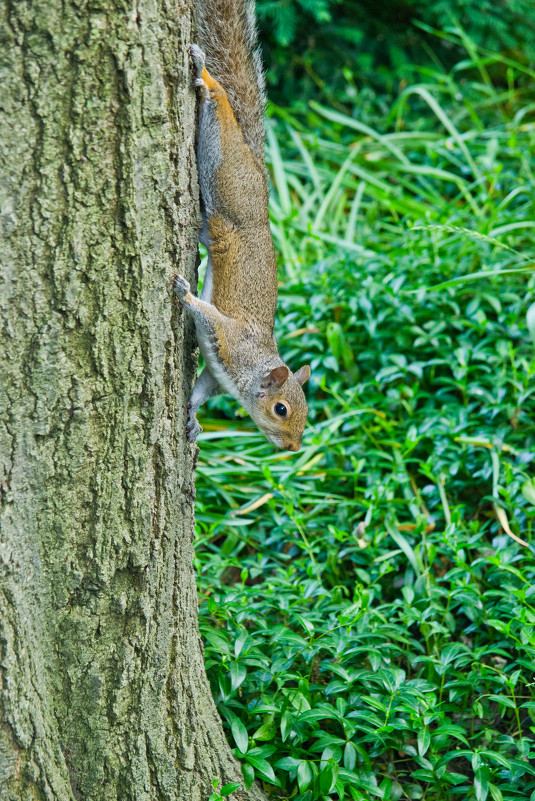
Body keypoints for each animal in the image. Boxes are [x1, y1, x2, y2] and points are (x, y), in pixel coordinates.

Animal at [174, 0, 312, 450]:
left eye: (306, 413)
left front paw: (193, 418)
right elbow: (207, 313)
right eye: (281, 410)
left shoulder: (217, 374)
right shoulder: (231, 339)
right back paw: (204, 76)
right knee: (219, 106)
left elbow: (200, 390)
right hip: (225, 174)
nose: (292, 448)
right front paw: (185, 292)